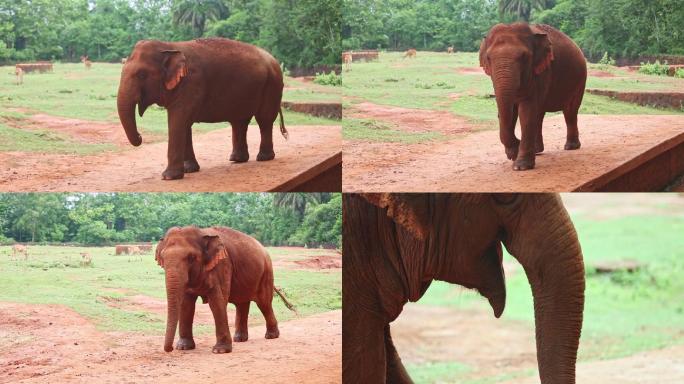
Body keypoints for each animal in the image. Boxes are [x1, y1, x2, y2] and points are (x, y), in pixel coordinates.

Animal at [117, 37, 286, 180]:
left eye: (141, 74)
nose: (140, 137)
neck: (169, 46)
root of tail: (274, 60)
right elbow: (184, 124)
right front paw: (189, 170)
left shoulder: (192, 83)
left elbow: (178, 121)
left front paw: (169, 177)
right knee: (239, 121)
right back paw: (237, 160)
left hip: (272, 84)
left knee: (264, 120)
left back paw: (263, 158)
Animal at [155, 225, 280, 354]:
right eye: (162, 258)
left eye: (191, 257)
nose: (170, 349)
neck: (201, 232)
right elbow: (186, 305)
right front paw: (183, 347)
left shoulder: (223, 265)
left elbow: (217, 302)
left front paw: (220, 351)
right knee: (242, 304)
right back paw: (239, 339)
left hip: (266, 273)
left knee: (264, 303)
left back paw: (271, 336)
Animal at [478, 22, 584, 170]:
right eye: (488, 58)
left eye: (523, 57)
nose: (517, 142)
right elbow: (512, 110)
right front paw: (514, 154)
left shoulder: (543, 70)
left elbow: (526, 111)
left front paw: (520, 166)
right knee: (540, 114)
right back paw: (537, 151)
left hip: (580, 80)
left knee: (570, 112)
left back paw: (570, 147)